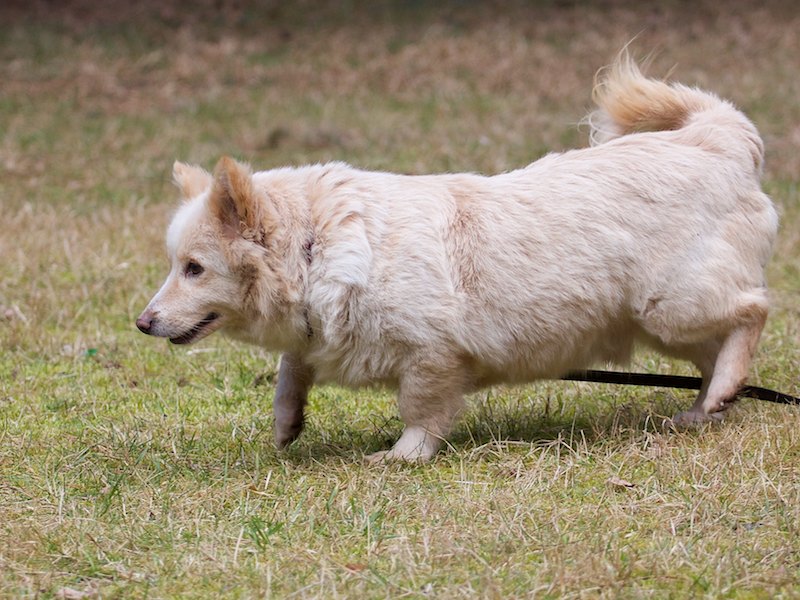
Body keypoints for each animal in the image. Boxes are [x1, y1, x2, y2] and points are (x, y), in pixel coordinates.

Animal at [137, 55, 778, 462]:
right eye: (175, 265)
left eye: (194, 268)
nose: (142, 323)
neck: (317, 247)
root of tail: (717, 139)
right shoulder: (313, 337)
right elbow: (289, 371)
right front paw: (285, 424)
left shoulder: (433, 357)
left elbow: (420, 413)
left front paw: (402, 457)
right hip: (665, 326)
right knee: (718, 356)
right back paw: (707, 408)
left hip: (672, 306)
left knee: (753, 312)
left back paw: (720, 392)